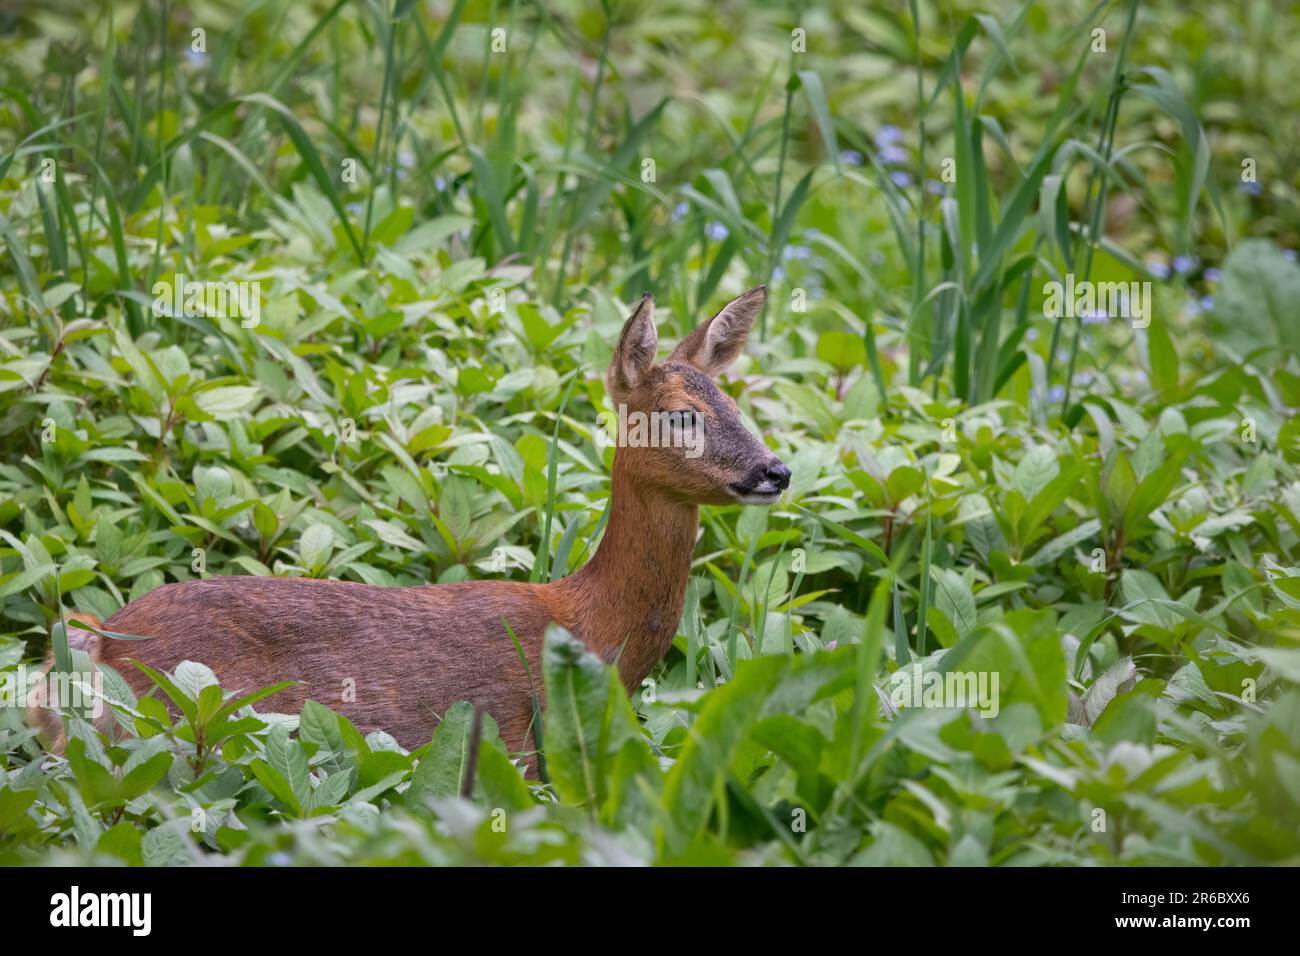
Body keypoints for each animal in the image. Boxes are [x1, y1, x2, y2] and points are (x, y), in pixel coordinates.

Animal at [30, 287, 790, 764]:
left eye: (737, 404)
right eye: (682, 416)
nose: (776, 470)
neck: (590, 627)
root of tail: (99, 644)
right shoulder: (520, 744)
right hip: (188, 719)